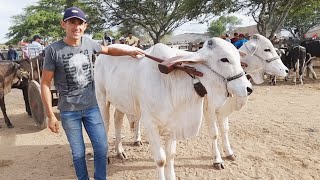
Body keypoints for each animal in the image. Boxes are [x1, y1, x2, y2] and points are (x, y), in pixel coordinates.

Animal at [95, 38, 252, 180]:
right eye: (224, 59)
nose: (248, 88)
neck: (172, 83)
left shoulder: (174, 125)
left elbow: (170, 155)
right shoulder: (151, 124)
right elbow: (161, 159)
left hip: (121, 102)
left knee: (117, 120)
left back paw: (120, 151)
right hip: (102, 99)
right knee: (105, 126)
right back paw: (107, 155)